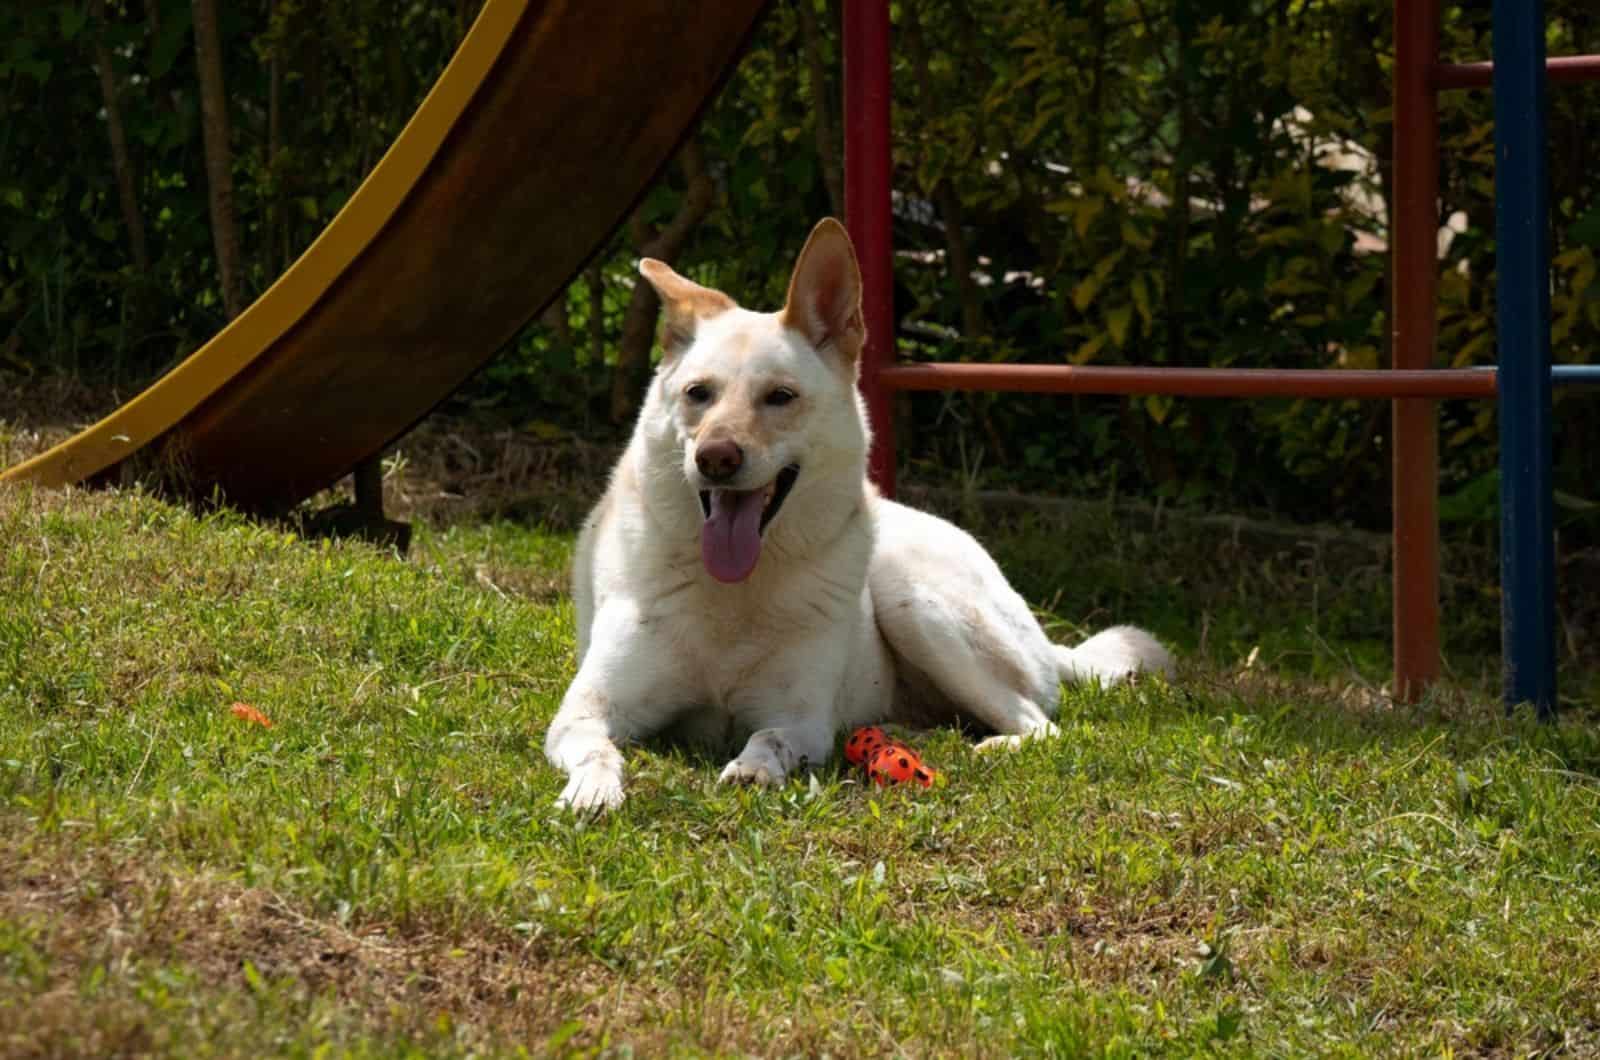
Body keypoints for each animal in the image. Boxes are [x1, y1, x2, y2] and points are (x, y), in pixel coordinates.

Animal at [544, 217, 1171, 813]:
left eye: (780, 397)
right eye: (698, 394)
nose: (715, 459)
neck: (735, 592)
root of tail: (1049, 647)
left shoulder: (802, 722)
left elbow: (770, 737)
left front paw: (754, 770)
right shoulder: (583, 712)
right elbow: (598, 750)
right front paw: (592, 793)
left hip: (912, 596)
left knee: (1039, 725)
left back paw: (986, 746)